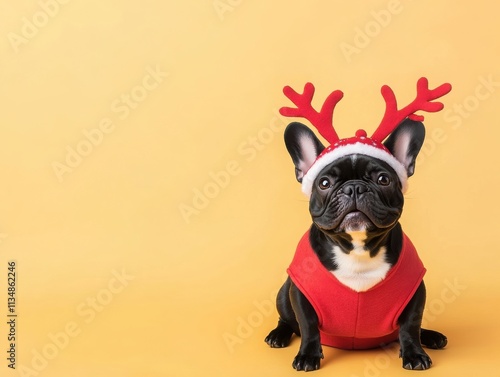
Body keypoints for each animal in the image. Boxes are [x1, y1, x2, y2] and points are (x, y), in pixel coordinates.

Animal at [266, 118, 450, 370]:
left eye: (383, 179)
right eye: (324, 183)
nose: (353, 187)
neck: (357, 249)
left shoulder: (414, 291)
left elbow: (411, 325)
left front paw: (414, 354)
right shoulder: (300, 294)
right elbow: (308, 325)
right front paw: (307, 356)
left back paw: (431, 336)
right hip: (284, 295)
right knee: (287, 320)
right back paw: (278, 335)